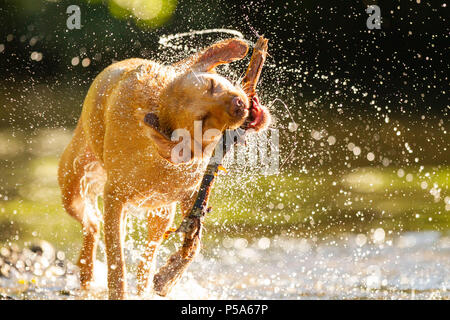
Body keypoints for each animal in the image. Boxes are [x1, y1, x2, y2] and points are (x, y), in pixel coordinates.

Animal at [59, 38, 270, 300]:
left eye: (212, 85)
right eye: (203, 119)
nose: (239, 104)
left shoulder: (191, 197)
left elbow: (193, 244)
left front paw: (168, 277)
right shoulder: (114, 199)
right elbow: (117, 264)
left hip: (161, 214)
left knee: (145, 257)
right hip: (72, 189)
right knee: (92, 224)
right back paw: (87, 271)